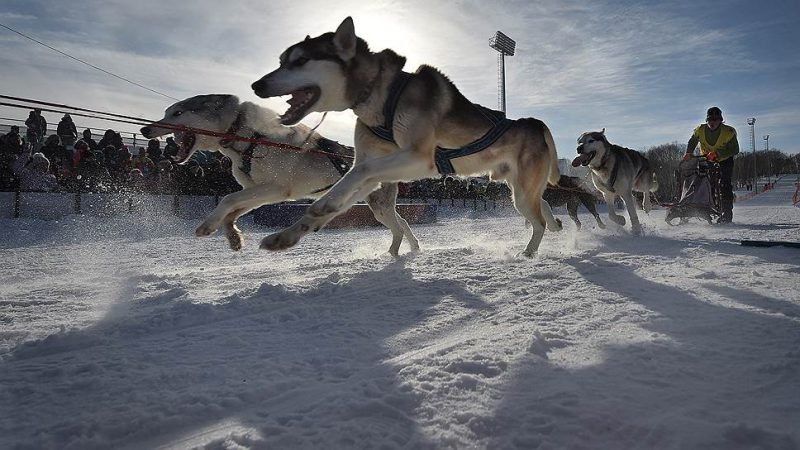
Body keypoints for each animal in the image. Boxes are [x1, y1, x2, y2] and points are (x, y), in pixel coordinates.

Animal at [141, 93, 422, 255]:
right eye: (166, 112)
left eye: (178, 112)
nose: (145, 130)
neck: (250, 138)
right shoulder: (259, 192)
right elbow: (232, 210)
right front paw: (233, 237)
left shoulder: (275, 189)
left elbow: (227, 199)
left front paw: (208, 225)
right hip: (378, 207)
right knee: (403, 222)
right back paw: (412, 247)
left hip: (379, 207)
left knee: (398, 227)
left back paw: (395, 252)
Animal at [253, 17, 560, 256]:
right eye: (281, 60)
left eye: (301, 60)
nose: (257, 85)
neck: (380, 95)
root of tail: (534, 123)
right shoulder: (376, 170)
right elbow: (351, 183)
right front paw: (286, 236)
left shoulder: (418, 158)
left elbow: (359, 173)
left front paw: (324, 204)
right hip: (517, 188)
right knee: (542, 205)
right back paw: (554, 224)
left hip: (521, 192)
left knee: (538, 222)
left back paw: (530, 251)